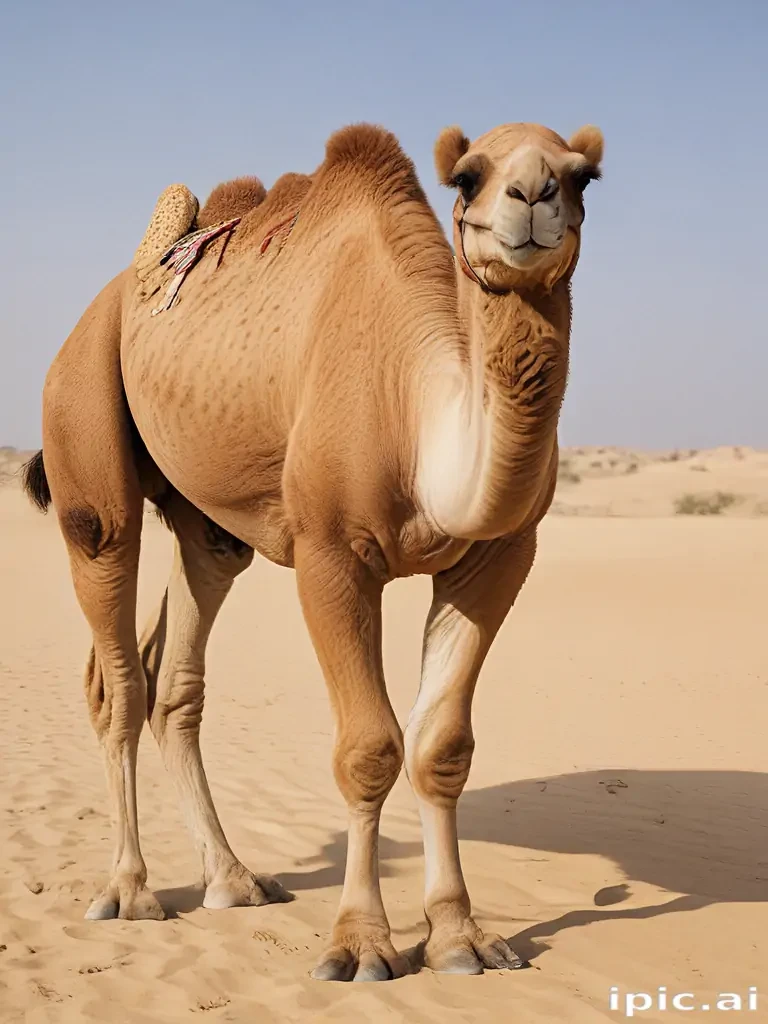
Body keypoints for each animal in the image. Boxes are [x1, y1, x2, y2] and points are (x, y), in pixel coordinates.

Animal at [23, 119, 603, 981]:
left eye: (583, 174)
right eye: (468, 177)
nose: (531, 196)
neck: (414, 406)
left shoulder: (497, 558)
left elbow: (442, 746)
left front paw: (461, 938)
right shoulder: (331, 553)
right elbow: (369, 747)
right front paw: (361, 947)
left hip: (206, 520)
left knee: (177, 668)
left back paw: (233, 880)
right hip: (84, 430)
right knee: (115, 657)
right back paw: (129, 891)